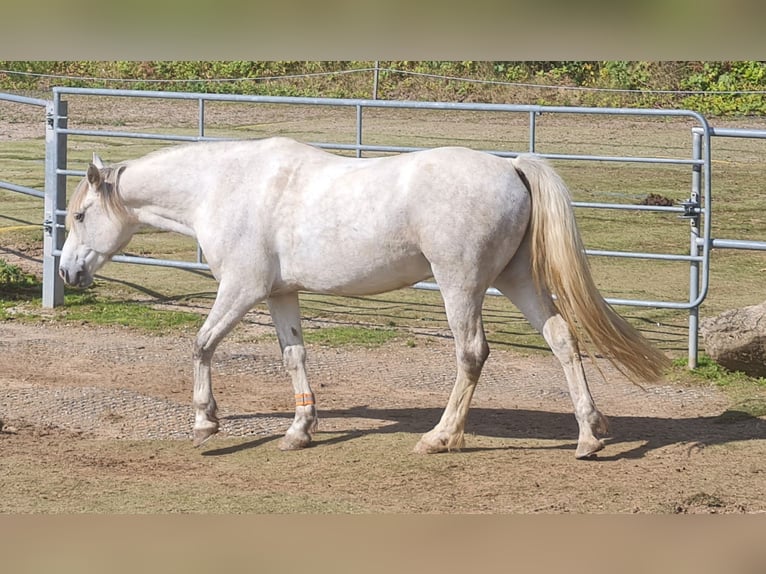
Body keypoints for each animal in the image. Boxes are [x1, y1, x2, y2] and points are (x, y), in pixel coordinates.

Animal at [58, 137, 669, 459]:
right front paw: (299, 430)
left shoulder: (242, 289)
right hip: (516, 280)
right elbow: (294, 357)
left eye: (81, 215)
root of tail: (511, 167)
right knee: (563, 340)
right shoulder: (280, 294)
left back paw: (440, 437)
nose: (67, 273)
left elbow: (202, 344)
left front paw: (206, 422)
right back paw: (588, 437)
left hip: (461, 284)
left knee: (472, 354)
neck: (226, 188)